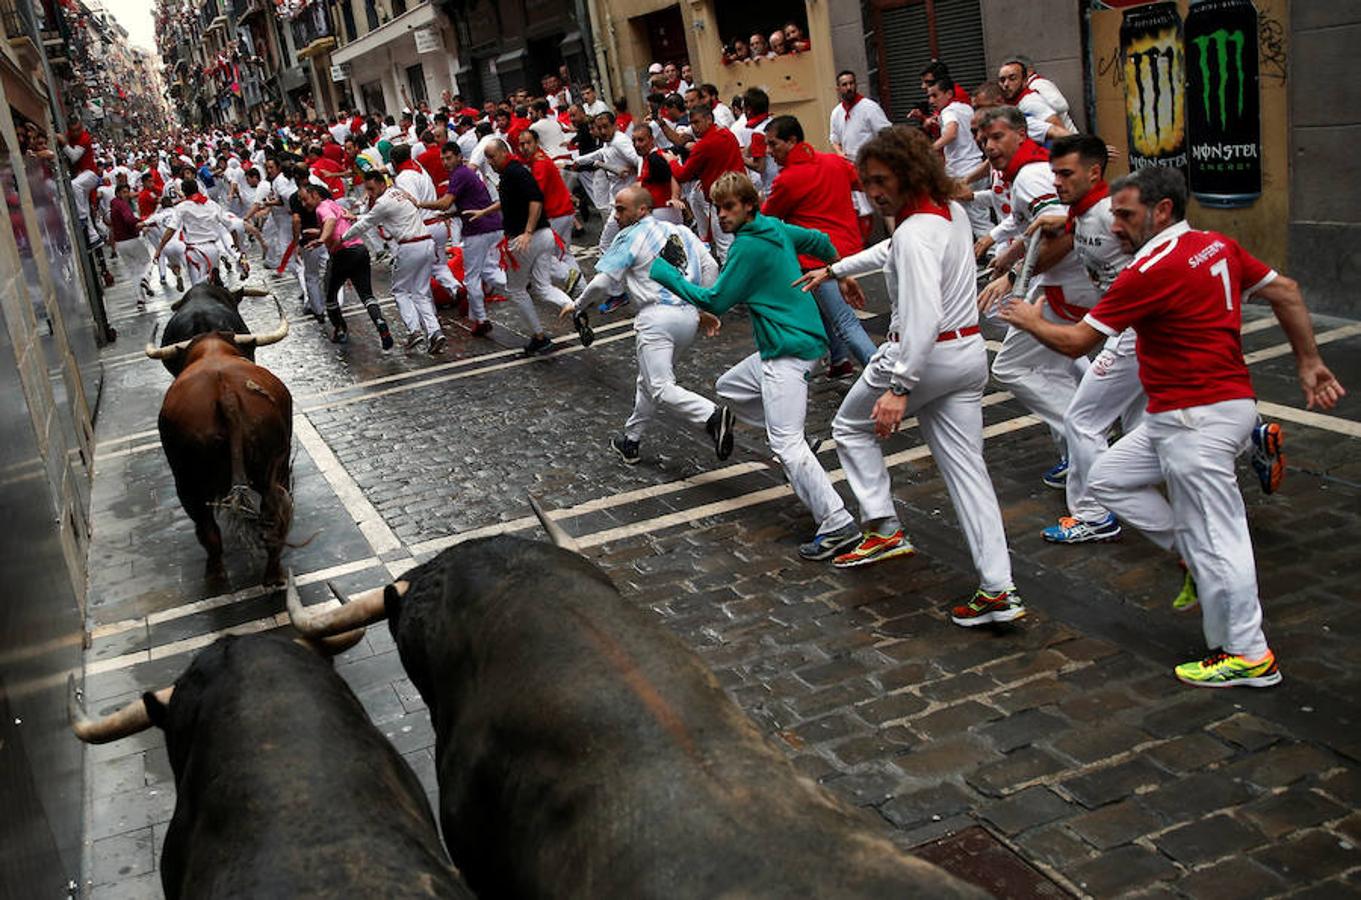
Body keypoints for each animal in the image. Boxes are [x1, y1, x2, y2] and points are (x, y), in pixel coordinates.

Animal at [149, 302, 292, 582]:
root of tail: (226, 394)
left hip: (187, 481)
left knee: (208, 530)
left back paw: (216, 574)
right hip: (272, 469)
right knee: (271, 517)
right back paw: (272, 576)